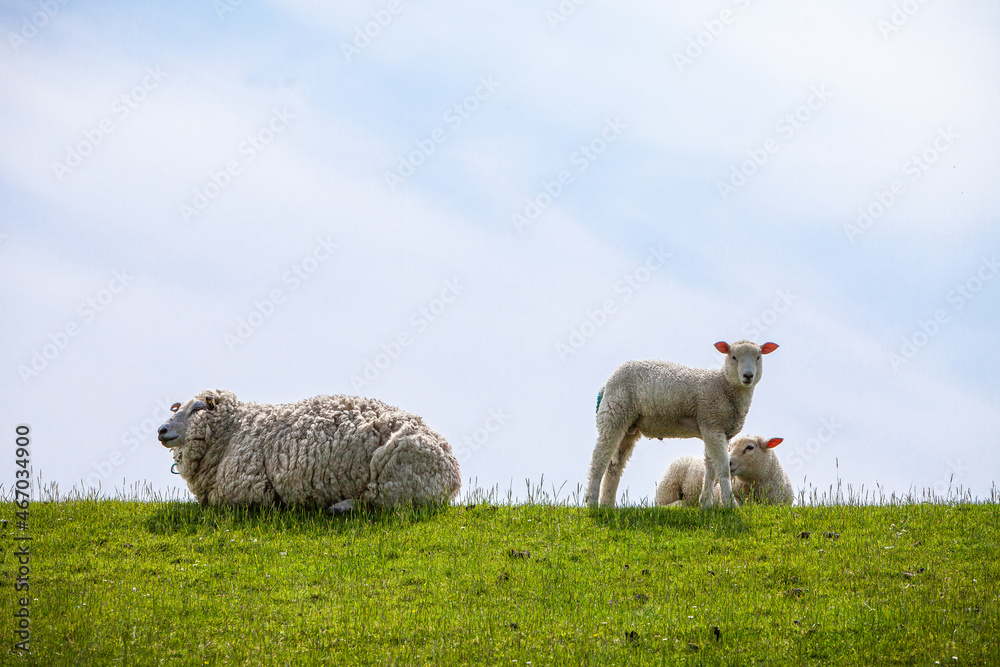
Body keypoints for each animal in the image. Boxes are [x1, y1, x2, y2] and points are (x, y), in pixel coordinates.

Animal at [157, 389, 461, 512]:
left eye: (197, 409)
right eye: (179, 408)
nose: (161, 430)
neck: (235, 430)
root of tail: (453, 474)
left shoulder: (244, 492)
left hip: (397, 475)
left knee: (379, 502)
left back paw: (339, 507)